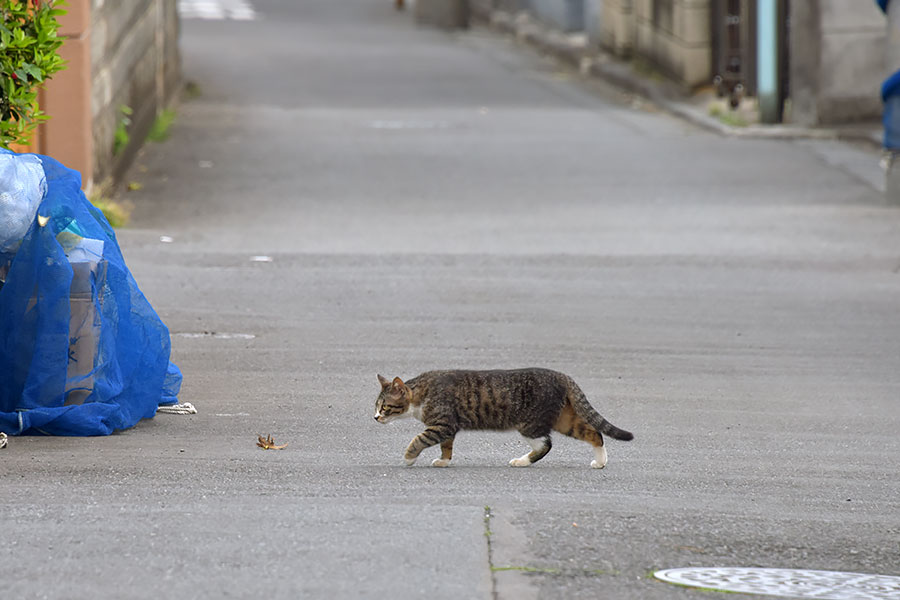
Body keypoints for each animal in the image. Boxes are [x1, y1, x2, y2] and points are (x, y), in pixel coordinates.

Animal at [372, 370, 632, 468]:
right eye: (376, 406)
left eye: (384, 407)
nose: (375, 417)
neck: (421, 395)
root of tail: (561, 375)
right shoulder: (447, 428)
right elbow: (447, 446)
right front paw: (444, 461)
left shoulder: (442, 424)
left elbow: (420, 439)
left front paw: (409, 457)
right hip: (564, 419)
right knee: (594, 433)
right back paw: (600, 461)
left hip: (529, 423)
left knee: (546, 443)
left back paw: (522, 461)